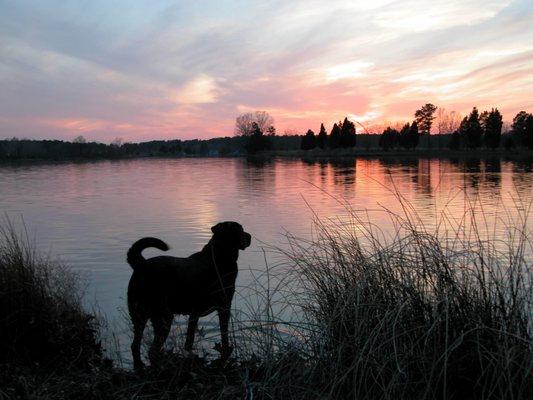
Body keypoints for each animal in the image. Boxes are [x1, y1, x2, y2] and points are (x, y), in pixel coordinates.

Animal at [125, 220, 250, 370]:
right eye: (241, 230)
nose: (250, 236)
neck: (218, 257)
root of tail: (141, 264)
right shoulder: (222, 307)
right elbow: (221, 335)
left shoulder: (197, 313)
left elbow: (190, 339)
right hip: (164, 317)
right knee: (152, 350)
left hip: (139, 315)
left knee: (135, 345)